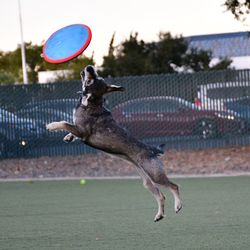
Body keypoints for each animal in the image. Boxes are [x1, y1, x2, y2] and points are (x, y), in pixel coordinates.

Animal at [46, 65, 182, 222]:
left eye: (92, 80)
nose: (90, 67)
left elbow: (64, 123)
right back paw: (159, 215)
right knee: (161, 196)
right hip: (147, 181)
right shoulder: (78, 130)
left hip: (155, 174)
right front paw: (68, 137)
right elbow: (69, 127)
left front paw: (51, 125)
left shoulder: (82, 131)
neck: (92, 102)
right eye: (96, 77)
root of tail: (152, 150)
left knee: (174, 186)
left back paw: (178, 206)